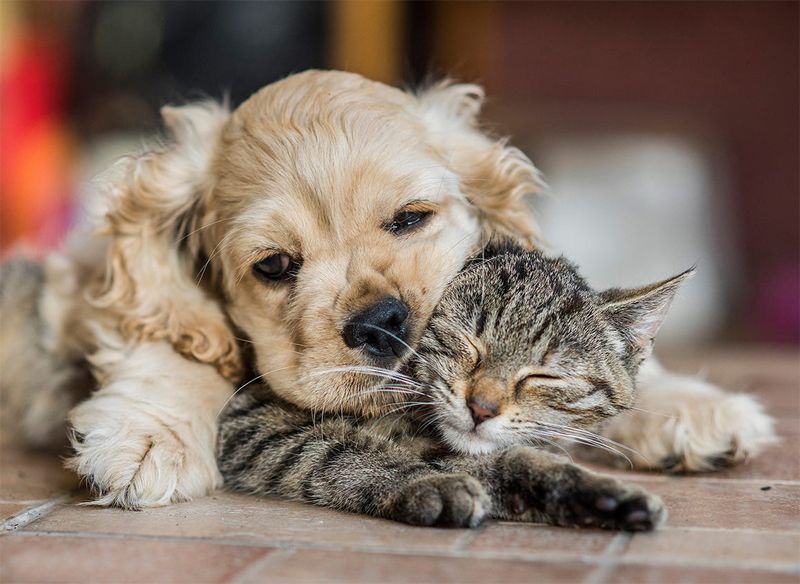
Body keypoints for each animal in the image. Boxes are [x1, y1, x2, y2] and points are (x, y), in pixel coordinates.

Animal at [216, 242, 692, 528]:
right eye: (468, 343)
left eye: (544, 376)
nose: (482, 406)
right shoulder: (252, 415)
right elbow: (336, 450)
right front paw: (423, 483)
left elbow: (510, 459)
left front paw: (596, 494)